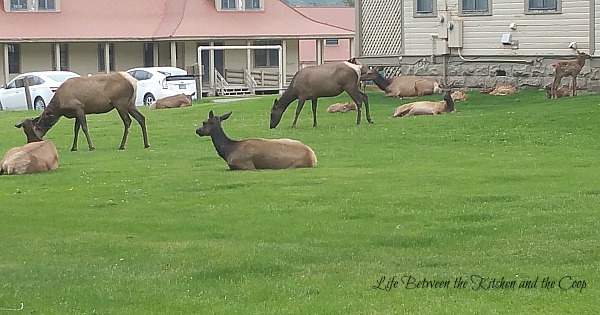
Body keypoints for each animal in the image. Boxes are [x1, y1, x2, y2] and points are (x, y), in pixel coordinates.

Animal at [15, 72, 149, 151]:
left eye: (37, 128)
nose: (31, 142)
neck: (60, 107)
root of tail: (133, 81)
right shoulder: (76, 113)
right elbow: (76, 129)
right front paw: (73, 147)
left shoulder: (79, 108)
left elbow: (84, 128)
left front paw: (91, 146)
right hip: (131, 103)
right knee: (141, 118)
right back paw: (146, 144)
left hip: (120, 103)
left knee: (128, 121)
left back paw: (122, 145)